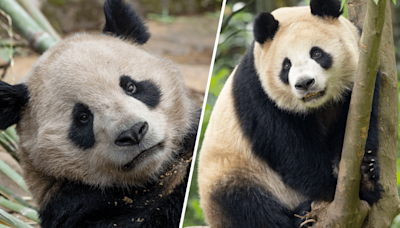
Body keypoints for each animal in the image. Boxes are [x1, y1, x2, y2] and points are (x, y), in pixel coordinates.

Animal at [198, 0, 382, 228]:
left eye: (317, 53)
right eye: (286, 65)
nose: (304, 83)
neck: (318, 105)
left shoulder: (364, 74)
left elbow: (359, 126)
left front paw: (365, 178)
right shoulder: (258, 92)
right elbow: (291, 149)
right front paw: (331, 188)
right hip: (235, 173)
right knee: (246, 207)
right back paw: (300, 216)